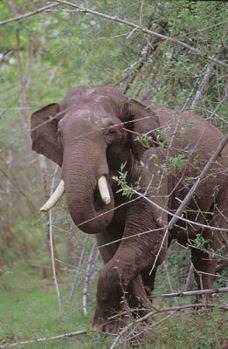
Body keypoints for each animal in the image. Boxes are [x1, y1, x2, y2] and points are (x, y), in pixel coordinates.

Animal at [30, 83, 228, 332]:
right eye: (59, 133)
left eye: (110, 131)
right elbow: (113, 248)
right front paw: (127, 328)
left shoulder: (153, 169)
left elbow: (147, 239)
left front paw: (110, 327)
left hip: (220, 192)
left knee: (205, 250)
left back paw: (202, 319)